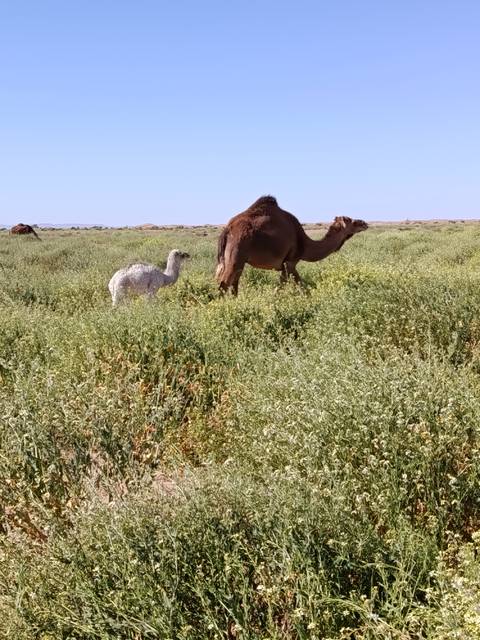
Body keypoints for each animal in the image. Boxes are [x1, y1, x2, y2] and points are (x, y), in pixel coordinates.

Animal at [216, 196, 368, 294]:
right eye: (351, 221)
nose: (364, 223)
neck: (305, 244)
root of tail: (228, 228)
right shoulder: (291, 261)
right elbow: (298, 286)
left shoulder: (283, 265)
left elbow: (288, 286)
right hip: (237, 254)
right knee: (224, 284)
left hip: (237, 260)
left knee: (233, 284)